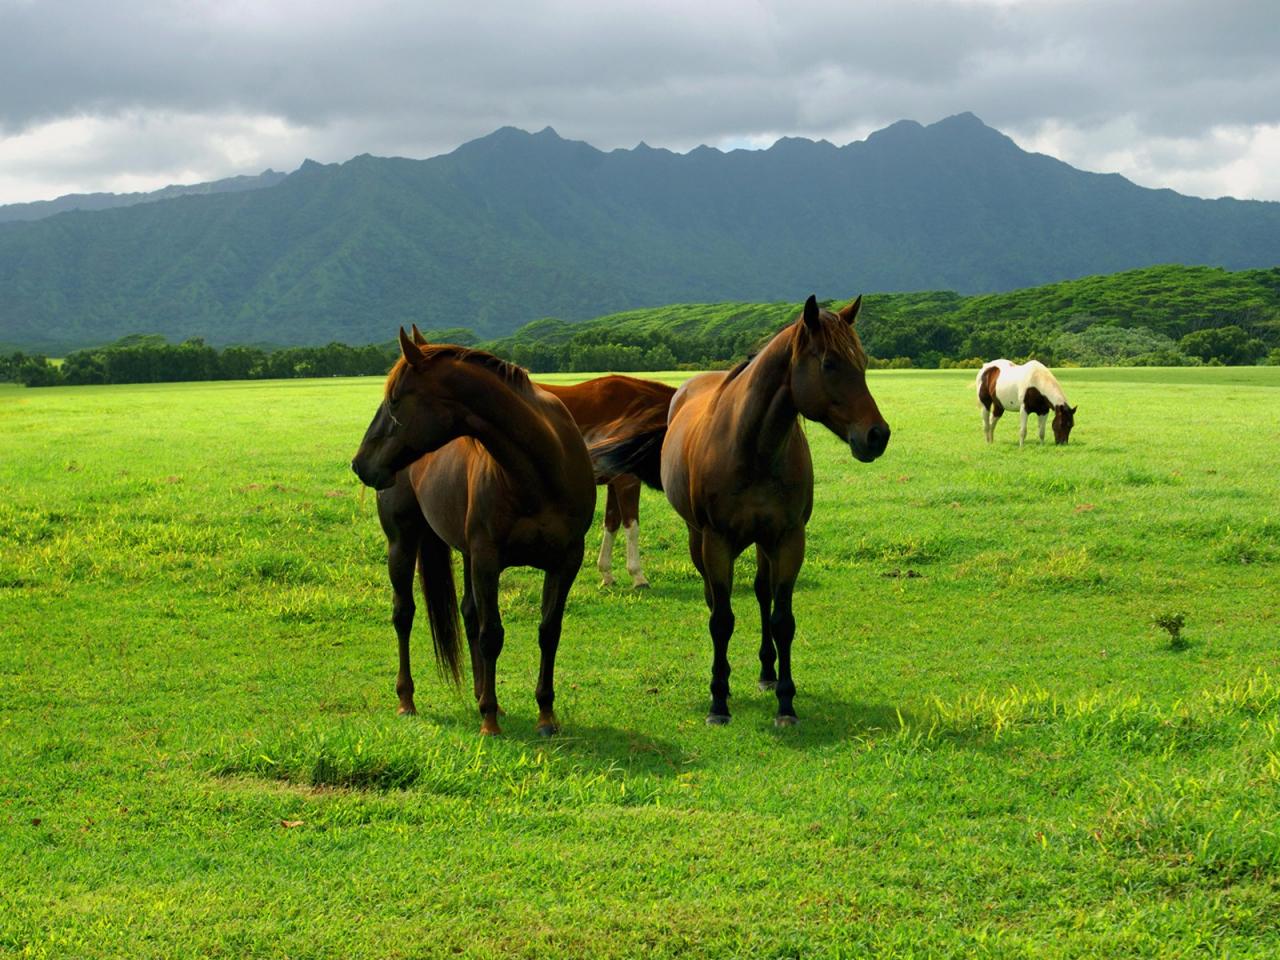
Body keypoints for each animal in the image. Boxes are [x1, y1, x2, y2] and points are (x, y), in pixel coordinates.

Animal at [353, 330, 596, 737]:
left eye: (394, 400)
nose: (360, 464)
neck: (540, 470)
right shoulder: (487, 559)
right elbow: (491, 634)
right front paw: (490, 721)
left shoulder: (565, 562)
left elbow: (549, 631)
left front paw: (545, 715)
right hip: (402, 543)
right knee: (404, 614)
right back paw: (408, 700)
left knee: (468, 612)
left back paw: (482, 692)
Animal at [535, 378, 680, 591]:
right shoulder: (627, 481)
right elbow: (631, 526)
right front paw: (638, 576)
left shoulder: (614, 482)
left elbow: (612, 524)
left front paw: (606, 574)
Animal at [591, 296, 885, 727]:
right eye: (830, 363)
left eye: (862, 361)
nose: (877, 435)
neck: (753, 447)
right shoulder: (716, 541)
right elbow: (722, 619)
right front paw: (718, 700)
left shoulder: (788, 539)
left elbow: (782, 619)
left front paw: (785, 701)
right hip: (698, 538)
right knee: (714, 600)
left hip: (764, 543)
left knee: (763, 595)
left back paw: (766, 671)